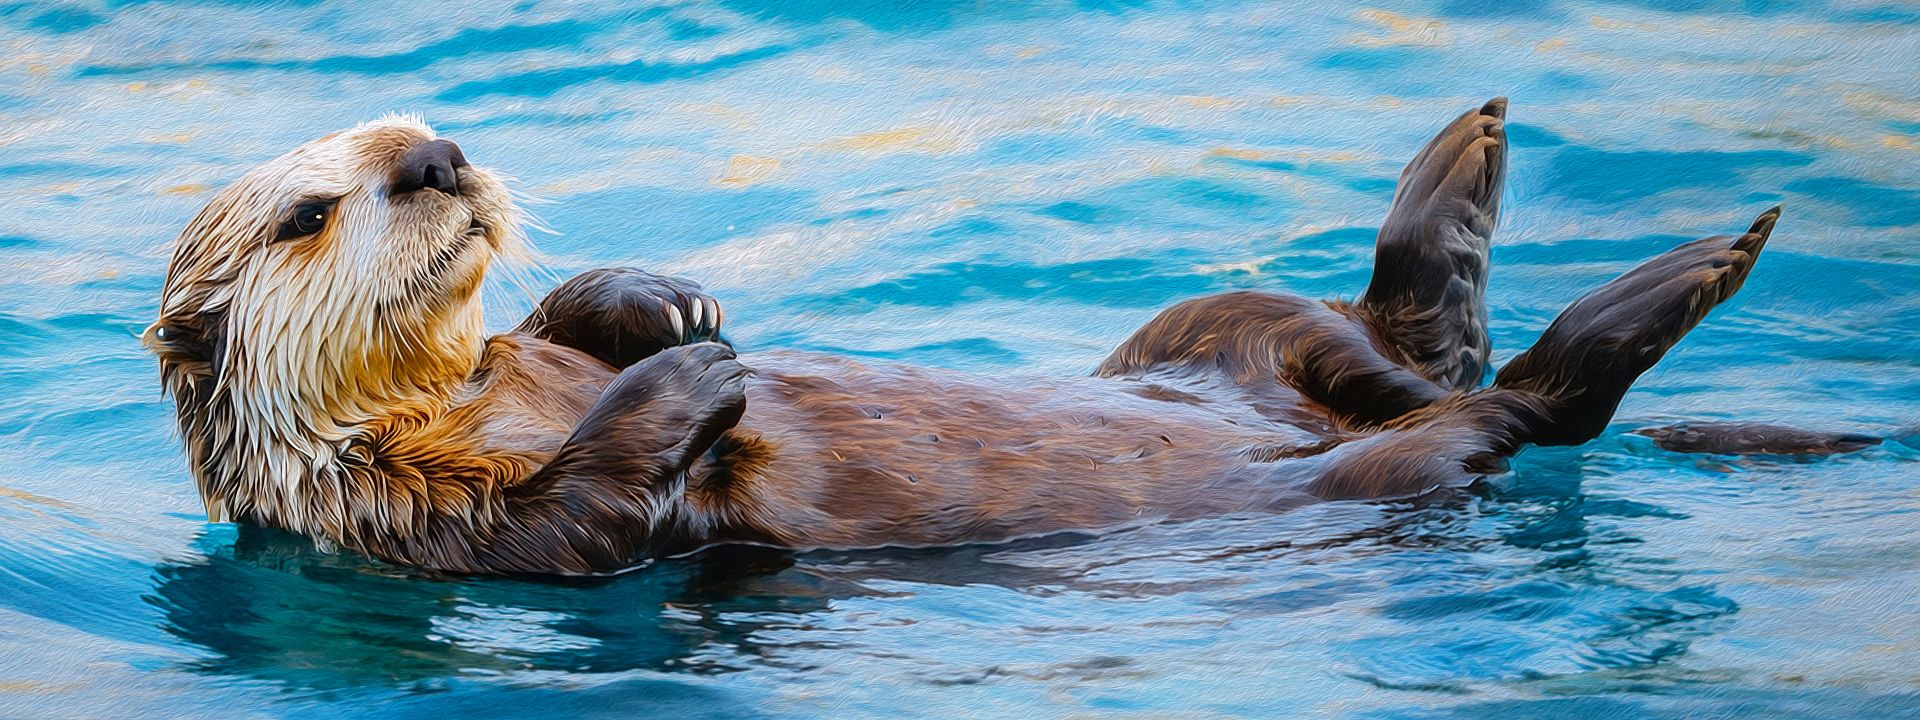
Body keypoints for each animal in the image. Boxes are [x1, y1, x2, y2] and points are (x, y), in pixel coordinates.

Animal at [146, 102, 1782, 576]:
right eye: (310, 213)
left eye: (416, 132)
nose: (437, 157)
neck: (444, 401)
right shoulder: (408, 527)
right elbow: (589, 518)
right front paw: (694, 373)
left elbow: (569, 329)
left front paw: (668, 306)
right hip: (1379, 477)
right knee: (1509, 415)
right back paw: (1675, 281)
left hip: (1225, 325)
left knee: (1407, 338)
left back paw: (1472, 166)